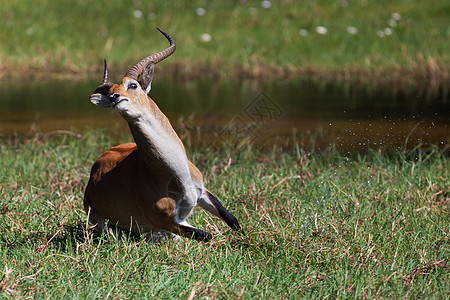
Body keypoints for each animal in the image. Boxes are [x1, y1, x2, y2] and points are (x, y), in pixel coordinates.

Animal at [82, 28, 241, 243]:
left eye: (133, 85)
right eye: (111, 92)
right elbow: (206, 235)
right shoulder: (169, 221)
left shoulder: (202, 192)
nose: (115, 98)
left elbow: (232, 219)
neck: (174, 176)